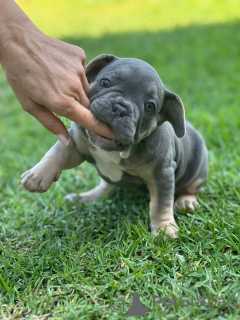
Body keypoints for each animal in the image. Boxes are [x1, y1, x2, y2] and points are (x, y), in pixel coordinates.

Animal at [21, 54, 208, 238]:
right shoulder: (76, 142)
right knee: (107, 187)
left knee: (191, 187)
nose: (121, 108)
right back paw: (86, 197)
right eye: (105, 82)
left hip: (198, 167)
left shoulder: (162, 174)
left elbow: (161, 204)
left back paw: (186, 202)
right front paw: (38, 174)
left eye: (149, 107)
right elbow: (59, 150)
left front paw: (164, 228)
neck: (115, 151)